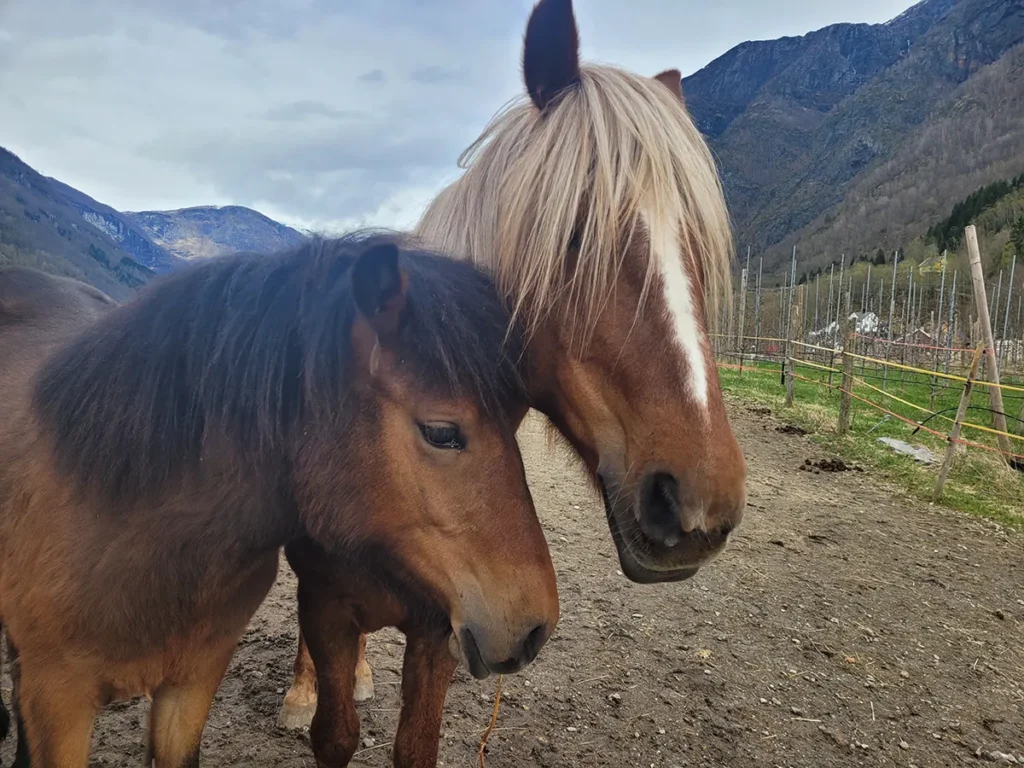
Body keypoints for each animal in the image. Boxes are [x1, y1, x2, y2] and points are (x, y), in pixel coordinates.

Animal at [278, 0, 748, 764]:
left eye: (697, 248)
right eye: (575, 233)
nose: (698, 506)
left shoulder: (443, 630)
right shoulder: (327, 602)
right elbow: (333, 729)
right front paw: (309, 696)